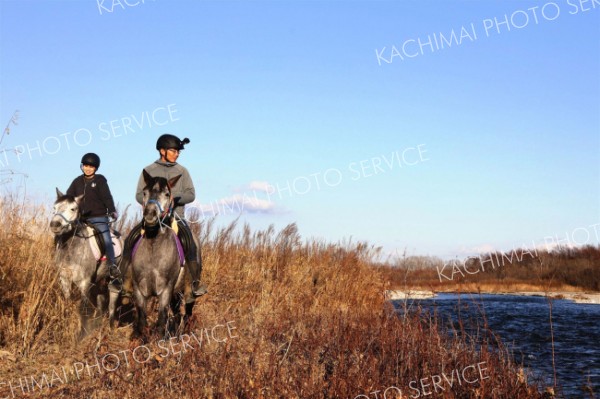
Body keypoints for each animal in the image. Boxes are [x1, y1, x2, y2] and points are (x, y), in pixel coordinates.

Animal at [51, 190, 122, 338]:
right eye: (54, 207)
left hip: (113, 278)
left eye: (73, 208)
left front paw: (80, 335)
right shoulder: (65, 279)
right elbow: (68, 303)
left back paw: (110, 328)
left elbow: (83, 309)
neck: (71, 248)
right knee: (101, 302)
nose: (55, 225)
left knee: (112, 300)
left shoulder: (84, 283)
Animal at [129, 170, 192, 340]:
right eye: (144, 192)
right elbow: (142, 320)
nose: (150, 214)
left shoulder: (165, 290)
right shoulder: (139, 290)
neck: (154, 246)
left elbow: (161, 321)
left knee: (185, 313)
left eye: (166, 194)